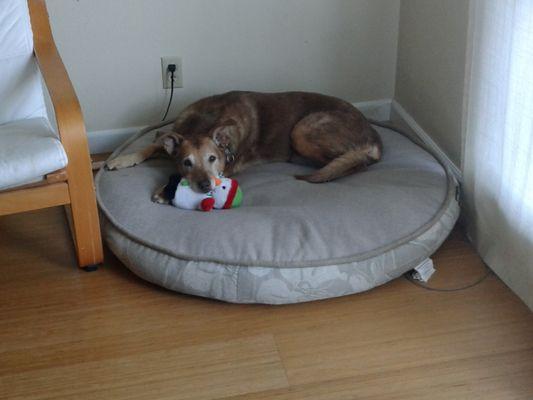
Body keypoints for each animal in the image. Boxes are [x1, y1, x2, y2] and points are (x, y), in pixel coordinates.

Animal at [108, 92, 380, 202]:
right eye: (187, 162)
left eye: (213, 159)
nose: (205, 185)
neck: (203, 123)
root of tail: (375, 137)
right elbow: (152, 145)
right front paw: (121, 159)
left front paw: (165, 191)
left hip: (303, 129)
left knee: (353, 163)